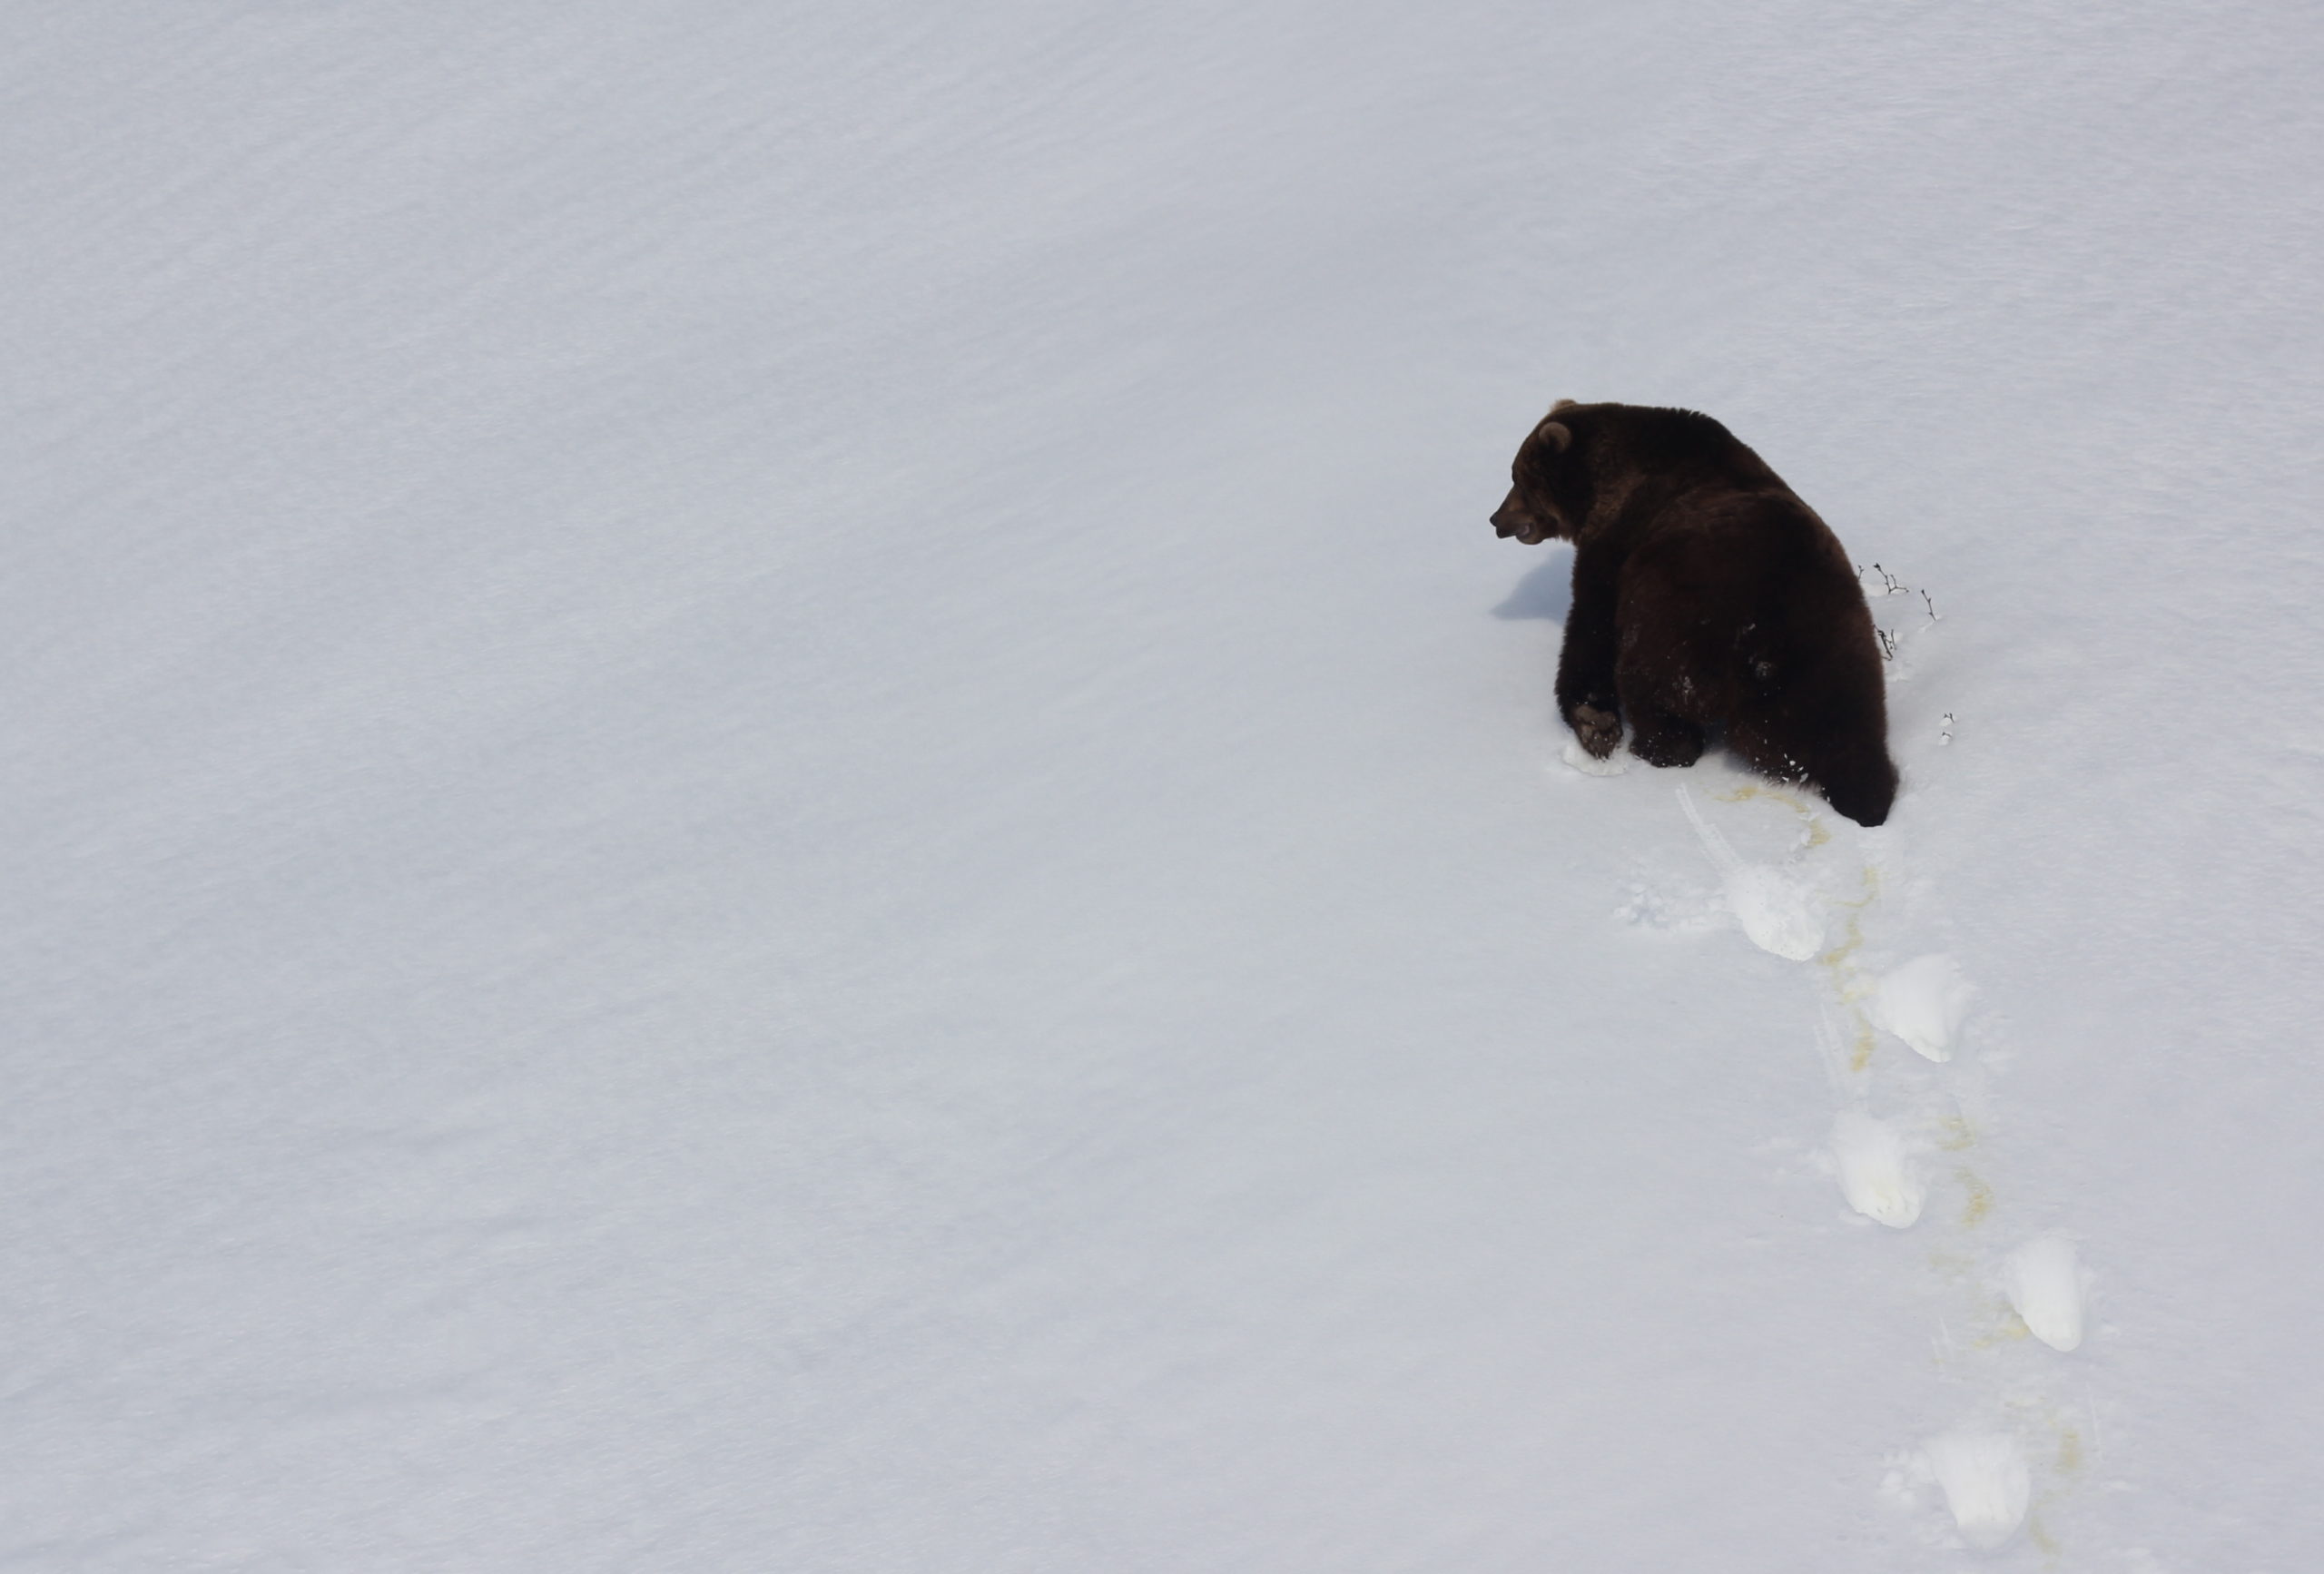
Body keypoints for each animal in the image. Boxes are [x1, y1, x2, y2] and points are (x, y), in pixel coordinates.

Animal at [1496, 399, 1896, 827]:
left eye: (1518, 478)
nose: (1496, 519)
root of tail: (1760, 639)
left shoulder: (1617, 545)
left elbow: (1591, 627)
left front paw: (1594, 721)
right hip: (1827, 644)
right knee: (1844, 725)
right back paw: (1867, 797)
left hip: (1674, 624)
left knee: (1651, 692)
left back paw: (1658, 747)